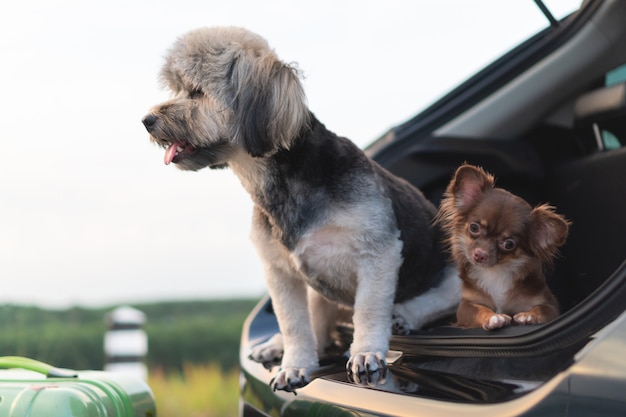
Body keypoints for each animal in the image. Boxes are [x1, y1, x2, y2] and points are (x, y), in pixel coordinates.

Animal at [143, 27, 458, 392]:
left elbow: (368, 310)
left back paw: (403, 317)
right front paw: (294, 365)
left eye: (197, 92)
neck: (275, 183)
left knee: (438, 300)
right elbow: (294, 323)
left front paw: (365, 353)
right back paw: (279, 345)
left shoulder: (378, 253)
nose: (147, 120)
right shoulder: (280, 272)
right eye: (176, 89)